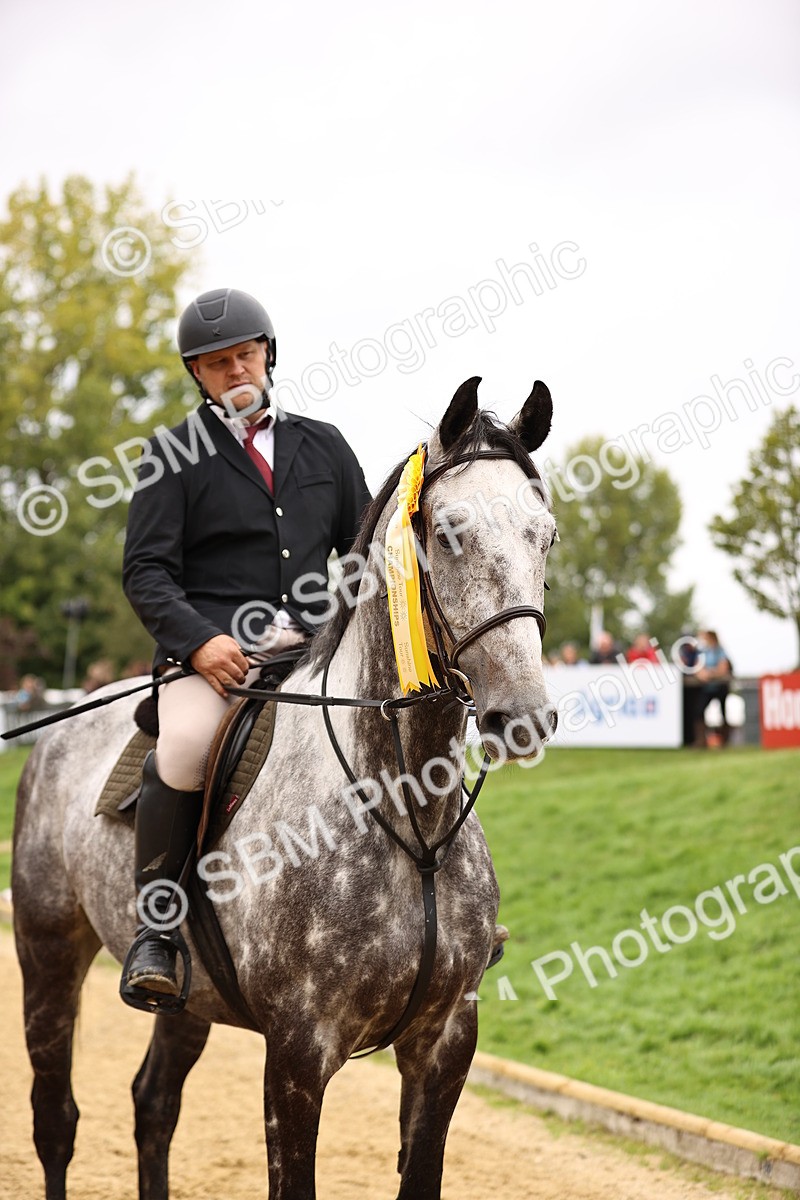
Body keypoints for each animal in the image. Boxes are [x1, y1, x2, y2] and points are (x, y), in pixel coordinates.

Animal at [12, 375, 558, 1200]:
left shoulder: (444, 1042)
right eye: (448, 532)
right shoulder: (300, 1049)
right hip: (48, 954)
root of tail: (52, 733)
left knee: (153, 1104)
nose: (521, 715)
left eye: (545, 535)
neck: (412, 820)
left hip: (188, 999)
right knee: (56, 1119)